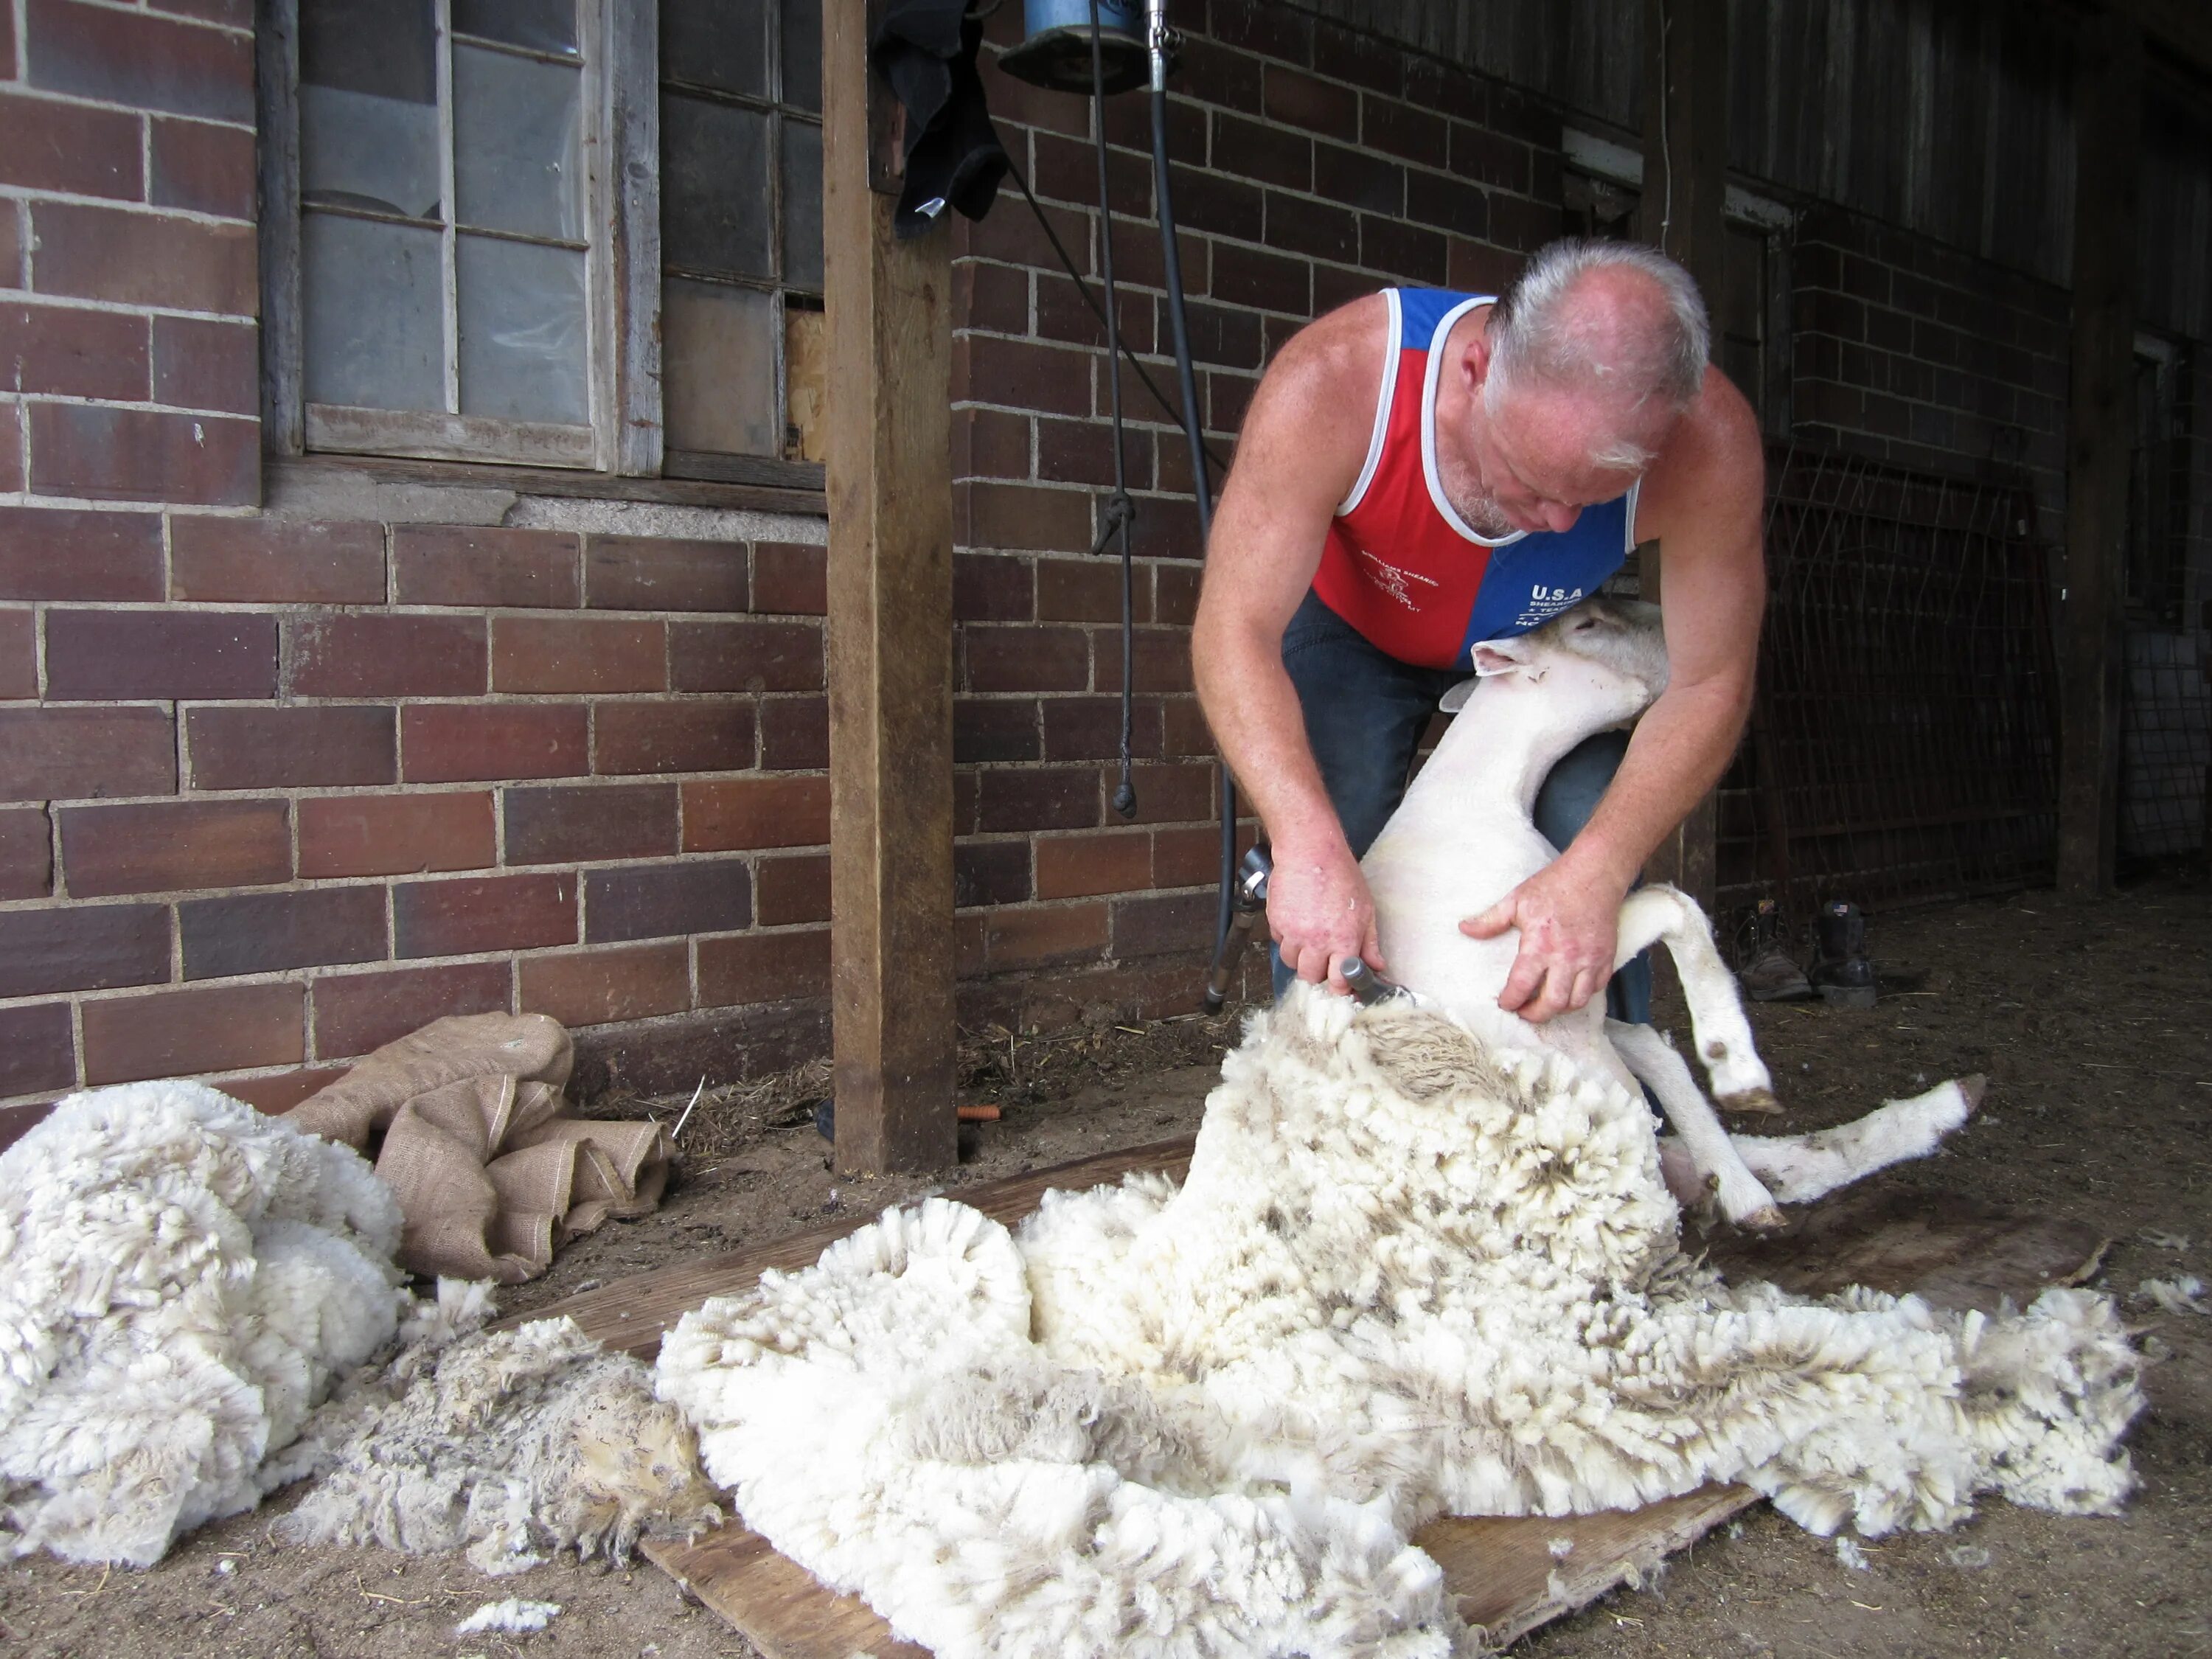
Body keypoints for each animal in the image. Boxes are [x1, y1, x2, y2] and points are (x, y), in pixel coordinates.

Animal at [1354, 597, 1982, 1239]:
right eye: (1585, 624)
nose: (1688, 645)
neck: (1476, 802)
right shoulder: (1543, 971)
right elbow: (1676, 905)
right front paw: (1735, 1064)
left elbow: (1656, 1039)